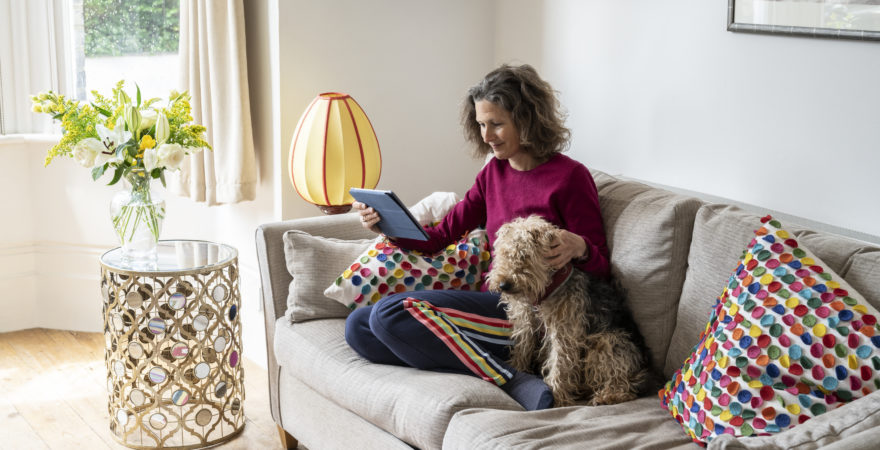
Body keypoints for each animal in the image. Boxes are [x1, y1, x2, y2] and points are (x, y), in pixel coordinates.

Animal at [488, 215, 652, 408]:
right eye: (503, 253)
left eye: (524, 255)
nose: (503, 284)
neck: (546, 290)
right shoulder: (526, 324)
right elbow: (522, 350)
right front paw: (519, 369)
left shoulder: (564, 333)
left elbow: (560, 365)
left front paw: (557, 397)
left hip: (606, 342)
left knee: (624, 384)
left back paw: (606, 396)